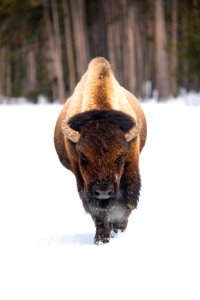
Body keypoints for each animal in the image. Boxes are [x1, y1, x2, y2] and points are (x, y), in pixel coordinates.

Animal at [54, 57, 147, 245]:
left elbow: (127, 200)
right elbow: (97, 209)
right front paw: (101, 238)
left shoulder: (131, 165)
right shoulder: (82, 178)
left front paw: (118, 227)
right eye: (83, 158)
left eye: (120, 157)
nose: (103, 191)